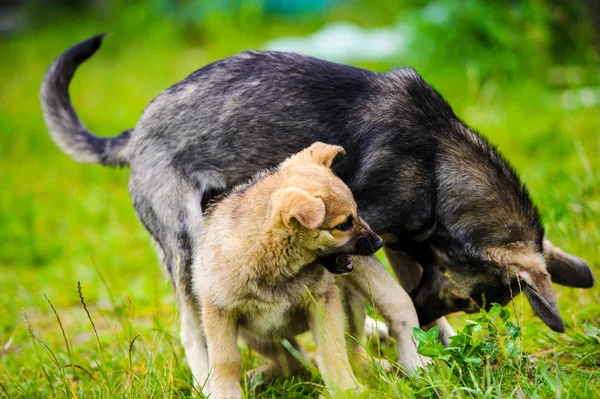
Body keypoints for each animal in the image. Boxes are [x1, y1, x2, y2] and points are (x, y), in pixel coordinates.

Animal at [192, 144, 380, 399]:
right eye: (344, 225)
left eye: (357, 213)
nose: (379, 242)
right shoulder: (219, 311)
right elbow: (226, 359)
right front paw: (226, 393)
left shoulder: (323, 301)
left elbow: (332, 348)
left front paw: (346, 388)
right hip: (255, 336)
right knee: (292, 361)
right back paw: (262, 376)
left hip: (351, 306)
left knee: (350, 349)